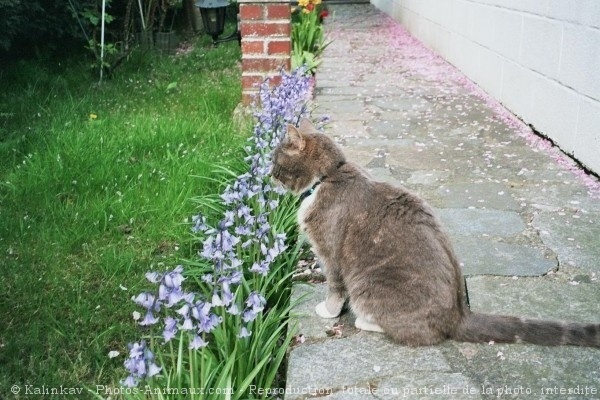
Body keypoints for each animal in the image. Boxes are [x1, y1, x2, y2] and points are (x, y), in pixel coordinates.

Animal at [270, 118, 600, 346]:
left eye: (275, 159)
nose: (268, 173)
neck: (327, 177)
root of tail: (459, 315)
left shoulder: (330, 254)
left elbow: (334, 288)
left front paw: (328, 310)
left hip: (368, 284)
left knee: (418, 333)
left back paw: (365, 320)